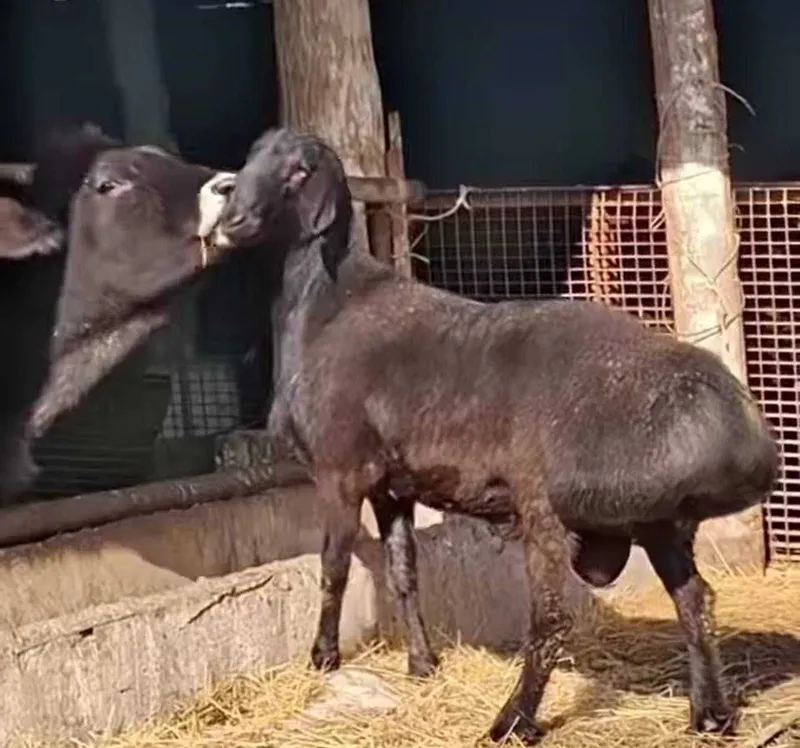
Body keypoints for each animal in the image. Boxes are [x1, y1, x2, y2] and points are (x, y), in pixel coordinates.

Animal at [200, 127, 780, 745]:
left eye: (300, 171)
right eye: (249, 160)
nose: (231, 222)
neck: (325, 305)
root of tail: (741, 427)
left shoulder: (341, 470)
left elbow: (332, 568)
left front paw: (323, 658)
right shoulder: (393, 485)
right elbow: (404, 573)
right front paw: (422, 664)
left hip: (550, 507)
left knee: (552, 620)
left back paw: (511, 721)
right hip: (660, 522)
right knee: (695, 600)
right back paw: (710, 714)